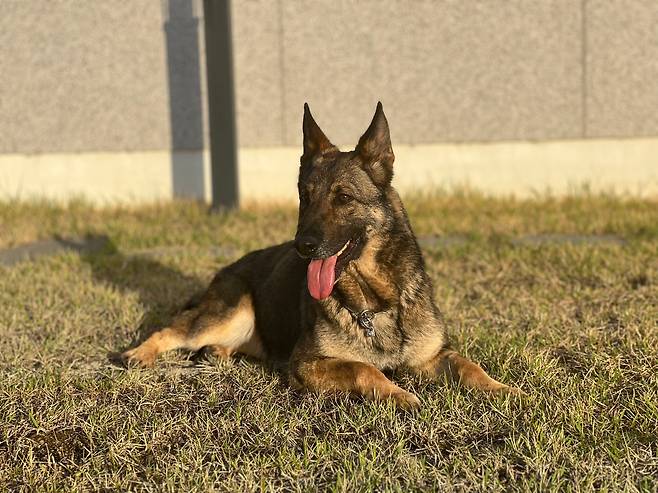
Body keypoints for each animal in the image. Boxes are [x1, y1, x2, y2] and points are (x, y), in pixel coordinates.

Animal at [123, 102, 516, 406]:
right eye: (305, 198)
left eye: (343, 198)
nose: (303, 246)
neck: (378, 302)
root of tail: (228, 269)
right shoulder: (308, 363)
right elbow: (364, 368)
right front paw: (399, 394)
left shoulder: (431, 356)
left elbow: (469, 365)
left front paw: (505, 390)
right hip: (227, 315)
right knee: (171, 331)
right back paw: (137, 354)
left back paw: (218, 352)